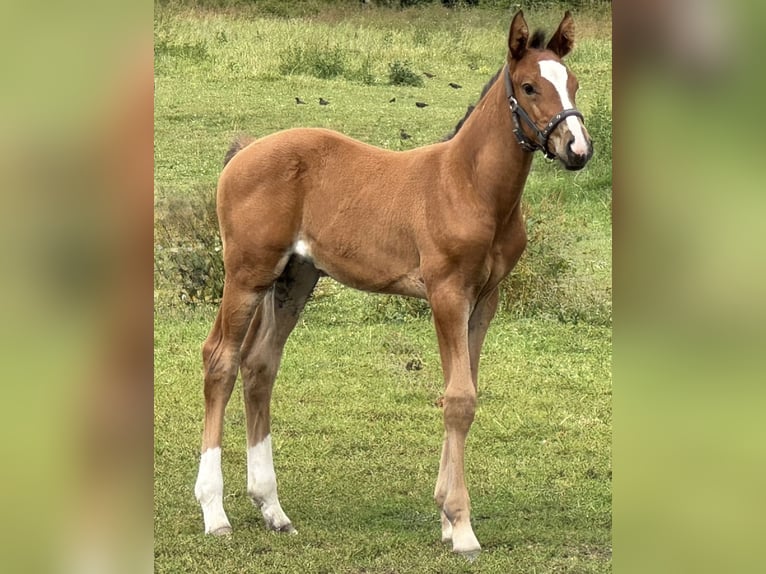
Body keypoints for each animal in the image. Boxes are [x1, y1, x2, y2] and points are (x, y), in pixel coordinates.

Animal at [194, 10, 593, 558]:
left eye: (573, 83)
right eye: (530, 87)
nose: (578, 148)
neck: (470, 186)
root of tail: (245, 151)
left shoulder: (484, 301)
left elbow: (463, 391)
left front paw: (445, 516)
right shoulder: (446, 293)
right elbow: (459, 399)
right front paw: (462, 528)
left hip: (295, 278)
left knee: (259, 366)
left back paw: (272, 508)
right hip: (248, 273)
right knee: (221, 361)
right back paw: (214, 512)